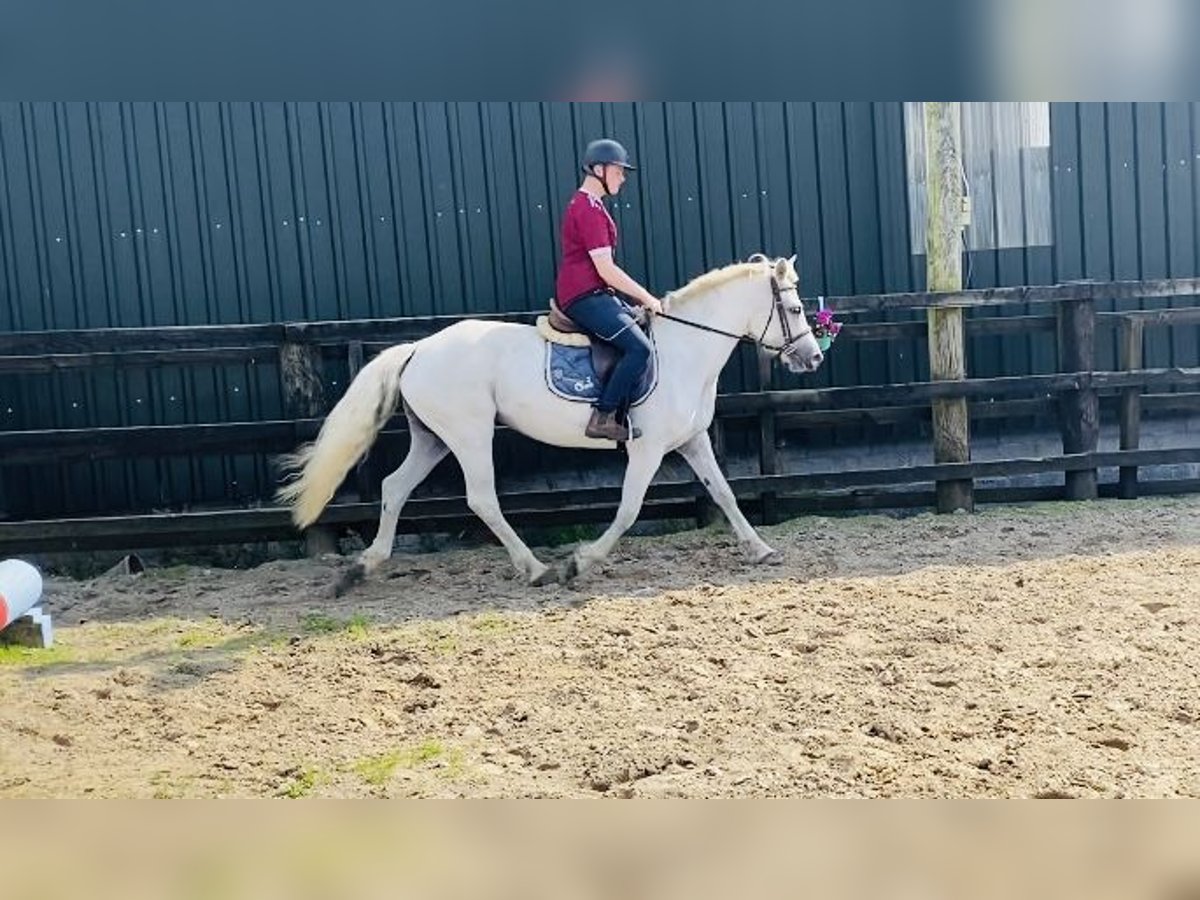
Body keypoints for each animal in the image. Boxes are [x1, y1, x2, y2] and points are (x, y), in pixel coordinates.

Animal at [278, 256, 825, 588]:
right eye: (796, 307)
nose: (813, 357)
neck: (686, 349)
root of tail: (418, 349)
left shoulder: (692, 441)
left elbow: (725, 494)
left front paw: (761, 549)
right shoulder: (647, 449)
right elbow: (628, 510)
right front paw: (581, 562)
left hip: (433, 438)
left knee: (394, 487)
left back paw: (365, 565)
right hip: (469, 434)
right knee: (481, 499)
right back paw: (536, 568)